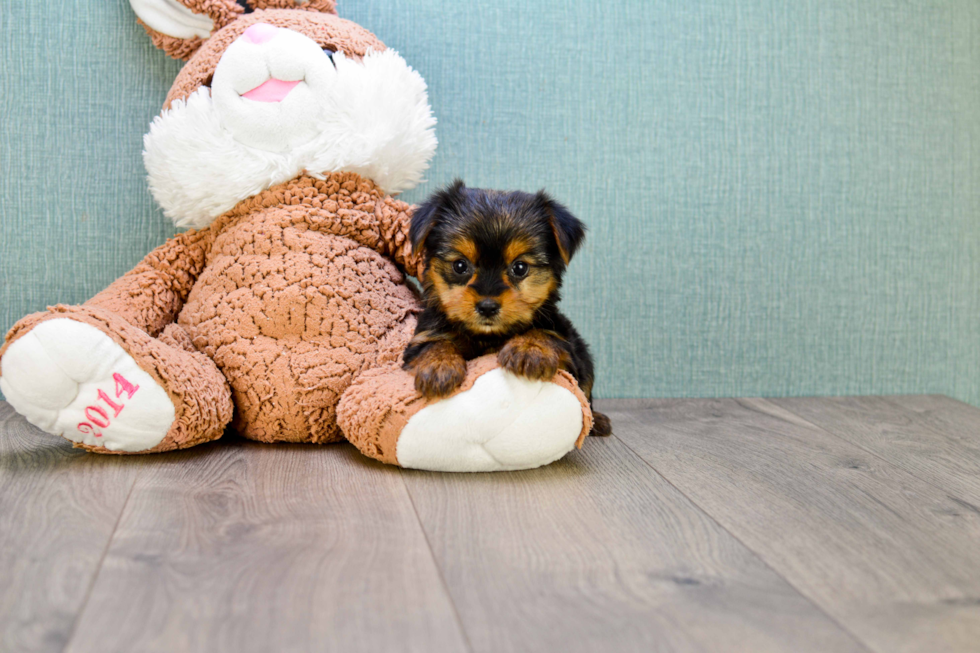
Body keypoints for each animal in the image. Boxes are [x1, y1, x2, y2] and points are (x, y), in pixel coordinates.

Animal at [402, 180, 608, 438]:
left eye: (519, 268)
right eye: (460, 266)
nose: (487, 306)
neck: (487, 336)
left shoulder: (566, 346)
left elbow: (546, 335)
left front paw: (530, 349)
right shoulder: (421, 338)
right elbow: (434, 343)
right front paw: (439, 365)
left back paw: (598, 421)